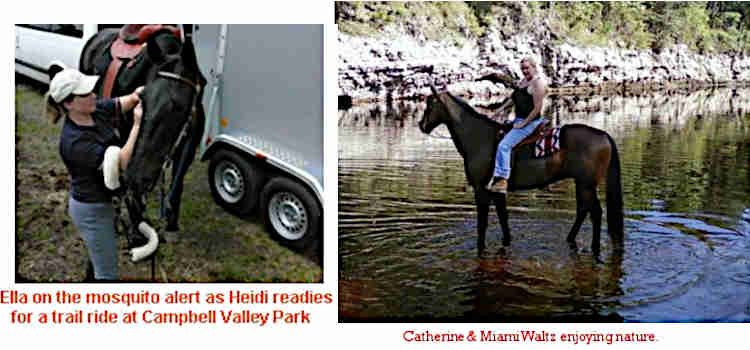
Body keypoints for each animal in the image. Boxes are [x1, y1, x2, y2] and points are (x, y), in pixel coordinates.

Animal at [78, 25, 206, 260]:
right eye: (141, 99)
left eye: (177, 107)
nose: (137, 178)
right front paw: (138, 232)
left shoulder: (188, 144)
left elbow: (177, 185)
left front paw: (171, 226)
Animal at [420, 85, 624, 254]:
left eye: (430, 104)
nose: (422, 125)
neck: (479, 137)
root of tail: (604, 135)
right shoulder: (496, 191)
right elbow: (503, 220)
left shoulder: (481, 189)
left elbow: (482, 225)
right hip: (582, 184)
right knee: (583, 210)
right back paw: (571, 238)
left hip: (586, 184)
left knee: (595, 213)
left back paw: (594, 247)